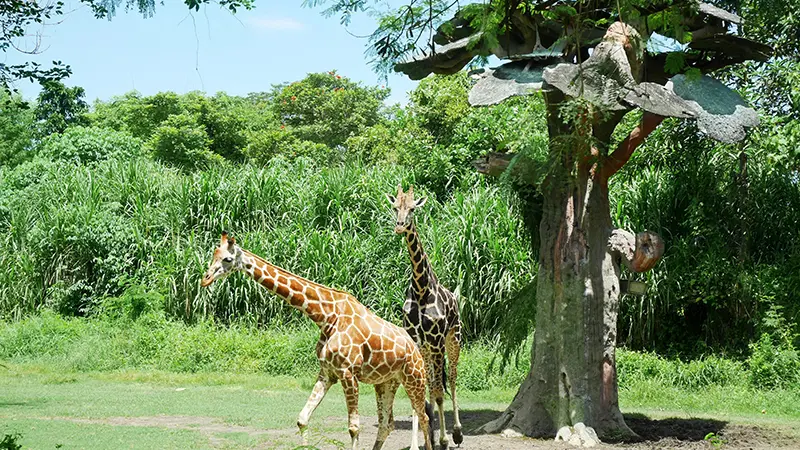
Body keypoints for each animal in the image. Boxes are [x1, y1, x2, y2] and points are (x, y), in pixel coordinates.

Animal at [201, 232, 434, 450]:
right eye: (214, 254)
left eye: (228, 259)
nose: (205, 278)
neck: (326, 316)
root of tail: (416, 348)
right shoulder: (327, 372)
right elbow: (302, 419)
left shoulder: (348, 373)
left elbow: (354, 428)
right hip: (386, 382)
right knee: (387, 424)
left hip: (414, 377)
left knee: (423, 416)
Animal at [386, 185, 464, 449]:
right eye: (395, 207)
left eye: (412, 208)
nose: (400, 226)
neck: (421, 289)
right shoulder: (417, 341)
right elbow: (419, 394)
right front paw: (416, 443)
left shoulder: (437, 340)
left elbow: (439, 393)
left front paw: (444, 439)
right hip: (429, 349)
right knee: (432, 384)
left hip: (454, 339)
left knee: (451, 379)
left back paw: (456, 433)